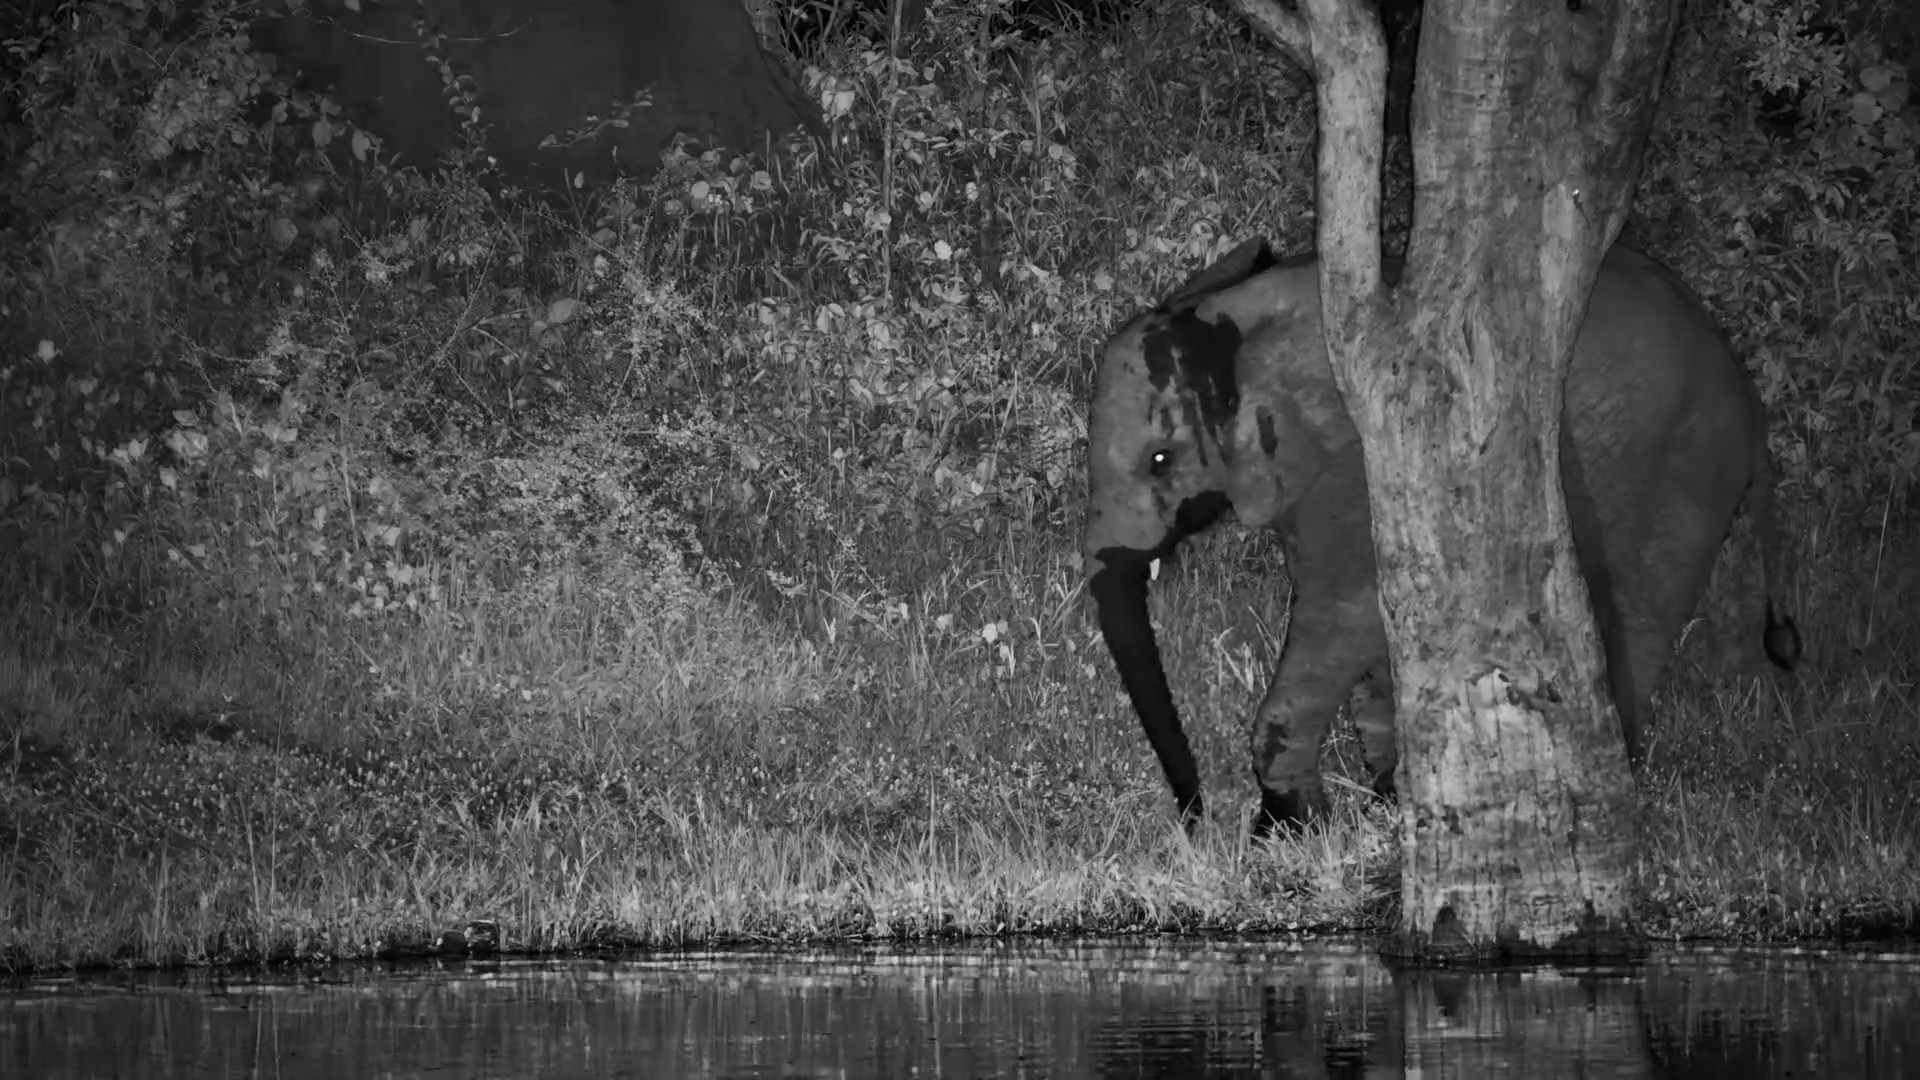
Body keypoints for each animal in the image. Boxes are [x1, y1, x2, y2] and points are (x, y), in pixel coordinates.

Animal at [1083, 240, 1802, 835]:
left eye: (1159, 461)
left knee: (1639, 614)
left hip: (1686, 468)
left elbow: (1345, 613)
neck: (1231, 320)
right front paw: (1383, 805)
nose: (1195, 822)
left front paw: (1287, 833)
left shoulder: (1357, 463)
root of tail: (1745, 387)